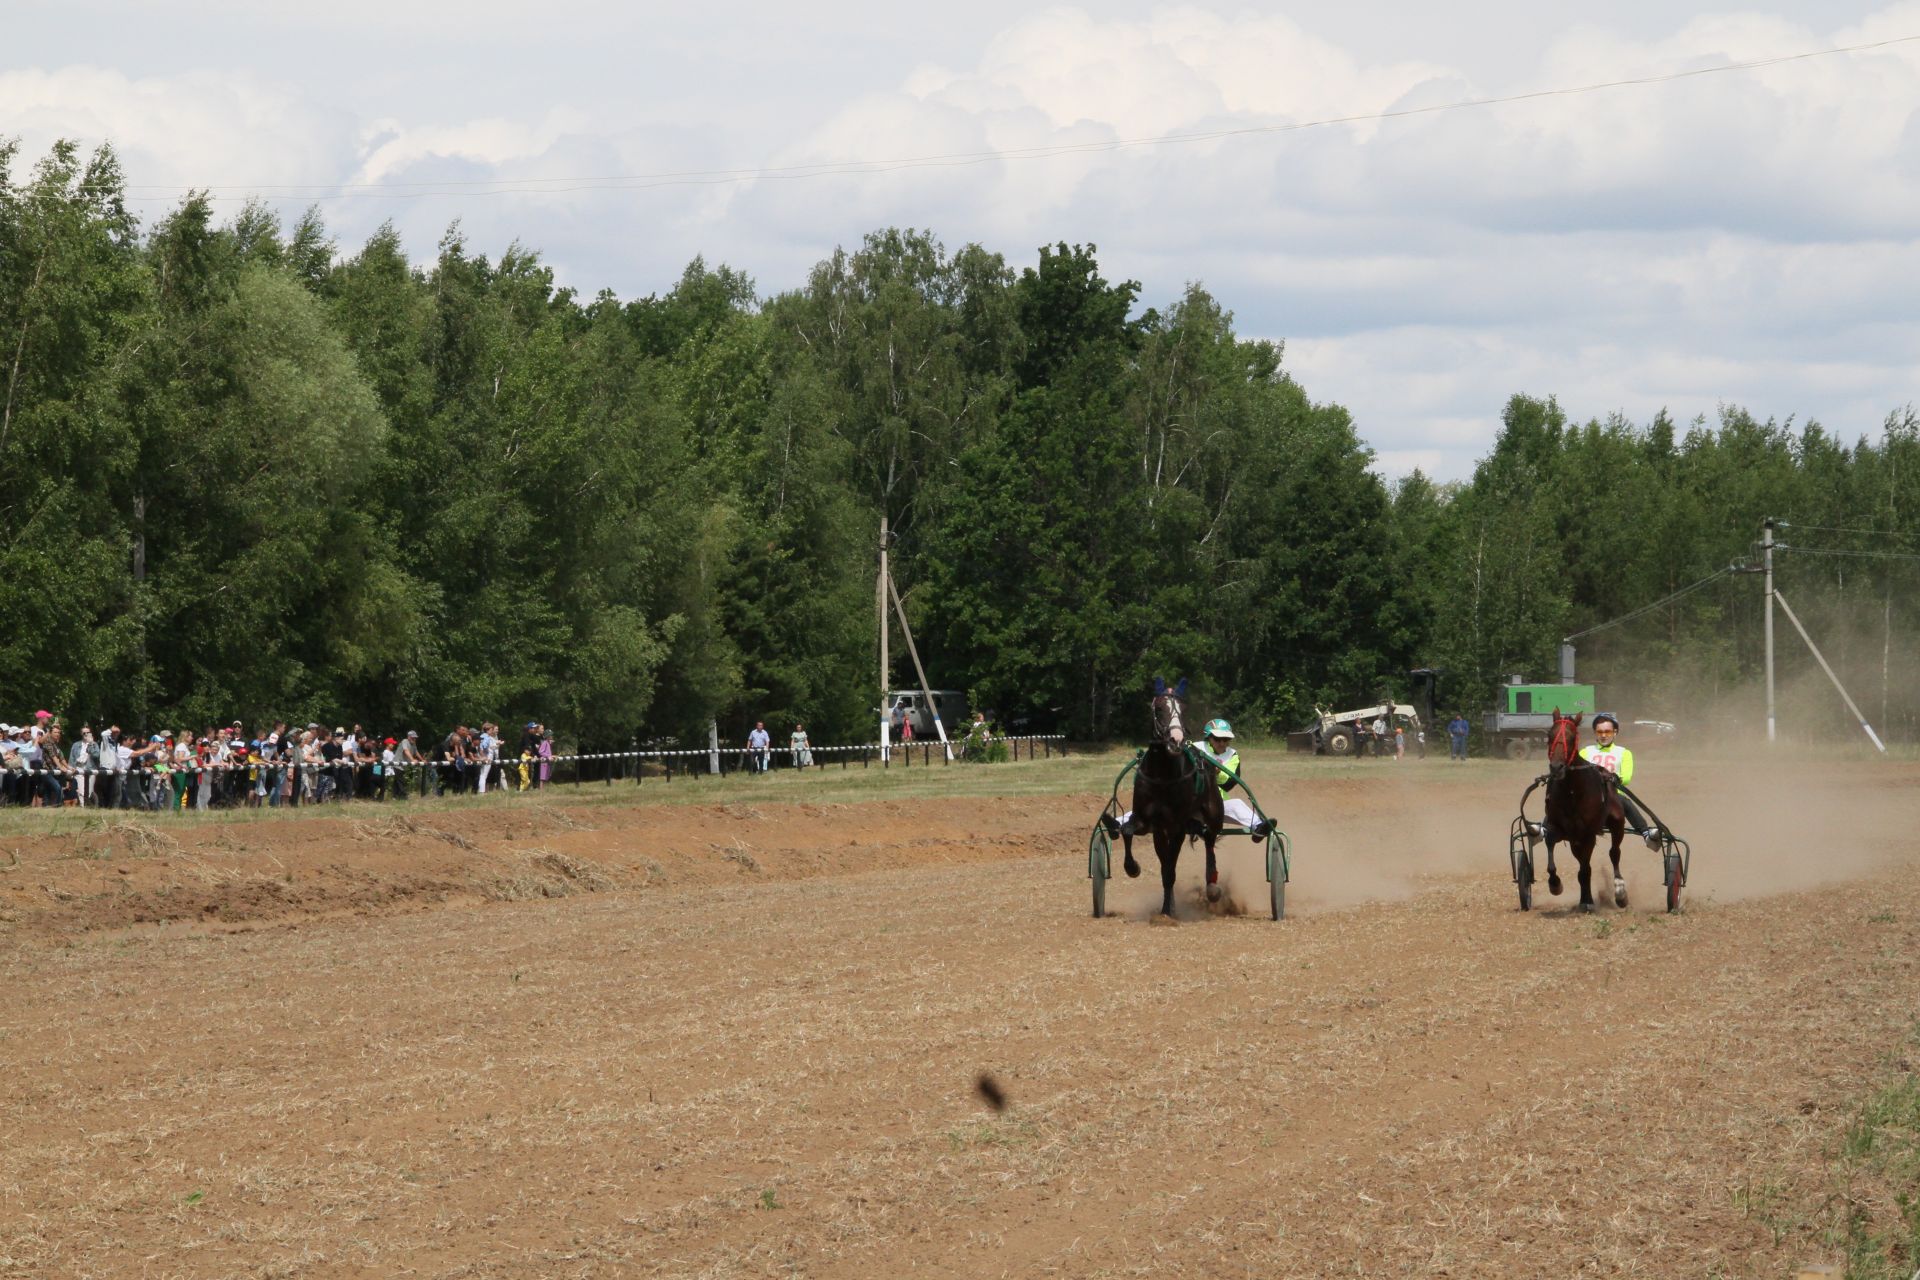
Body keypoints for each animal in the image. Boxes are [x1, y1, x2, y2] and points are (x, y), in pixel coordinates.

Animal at [1113, 675, 1228, 917]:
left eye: (1183, 708)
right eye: (1159, 708)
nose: (1176, 739)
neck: (1162, 776)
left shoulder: (1176, 827)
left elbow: (1170, 871)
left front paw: (1168, 912)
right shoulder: (1151, 823)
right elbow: (1127, 831)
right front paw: (1132, 868)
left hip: (1214, 813)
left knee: (1210, 841)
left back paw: (1212, 886)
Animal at [1536, 710, 1628, 909]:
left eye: (1572, 738)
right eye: (1550, 735)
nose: (1556, 767)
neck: (1571, 792)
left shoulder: (1588, 833)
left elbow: (1586, 868)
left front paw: (1588, 901)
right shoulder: (1558, 828)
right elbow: (1551, 849)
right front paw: (1555, 884)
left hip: (1617, 822)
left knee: (1614, 852)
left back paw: (1619, 891)